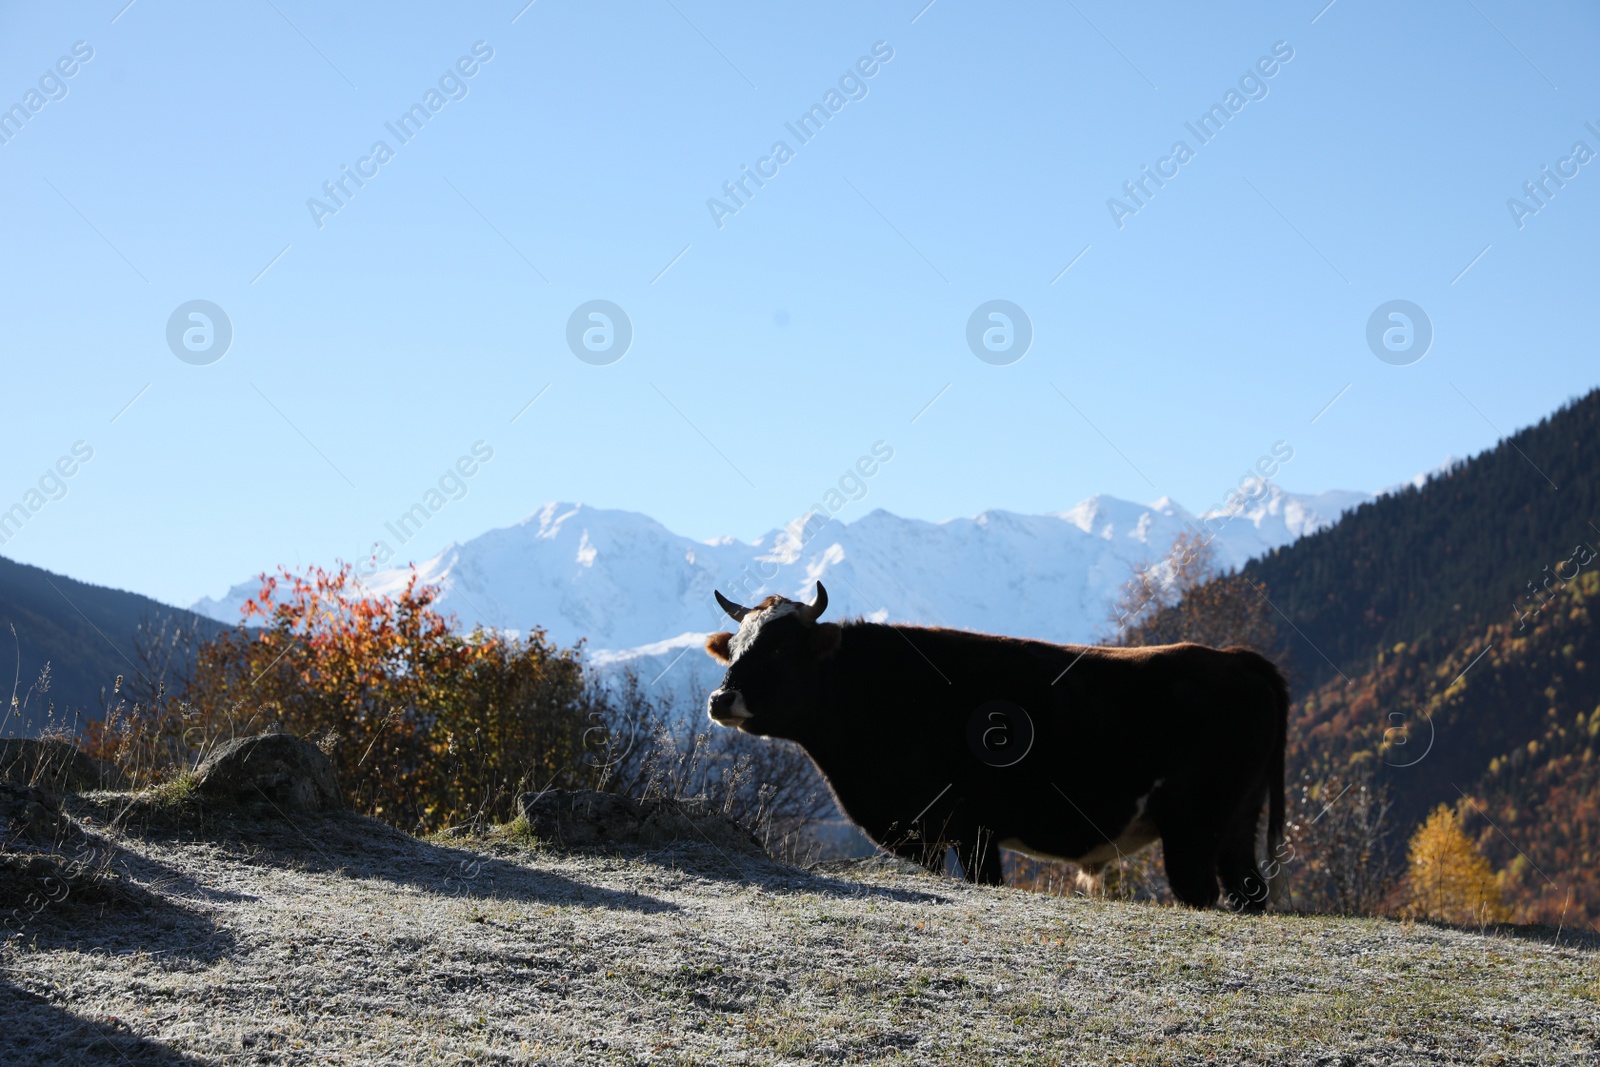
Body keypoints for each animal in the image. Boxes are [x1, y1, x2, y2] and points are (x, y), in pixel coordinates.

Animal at [700, 579, 1286, 915]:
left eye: (779, 649)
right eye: (736, 646)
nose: (720, 698)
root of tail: (1235, 657)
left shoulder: (973, 829)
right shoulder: (925, 833)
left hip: (1192, 827)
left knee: (1204, 895)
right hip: (1236, 822)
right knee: (1248, 893)